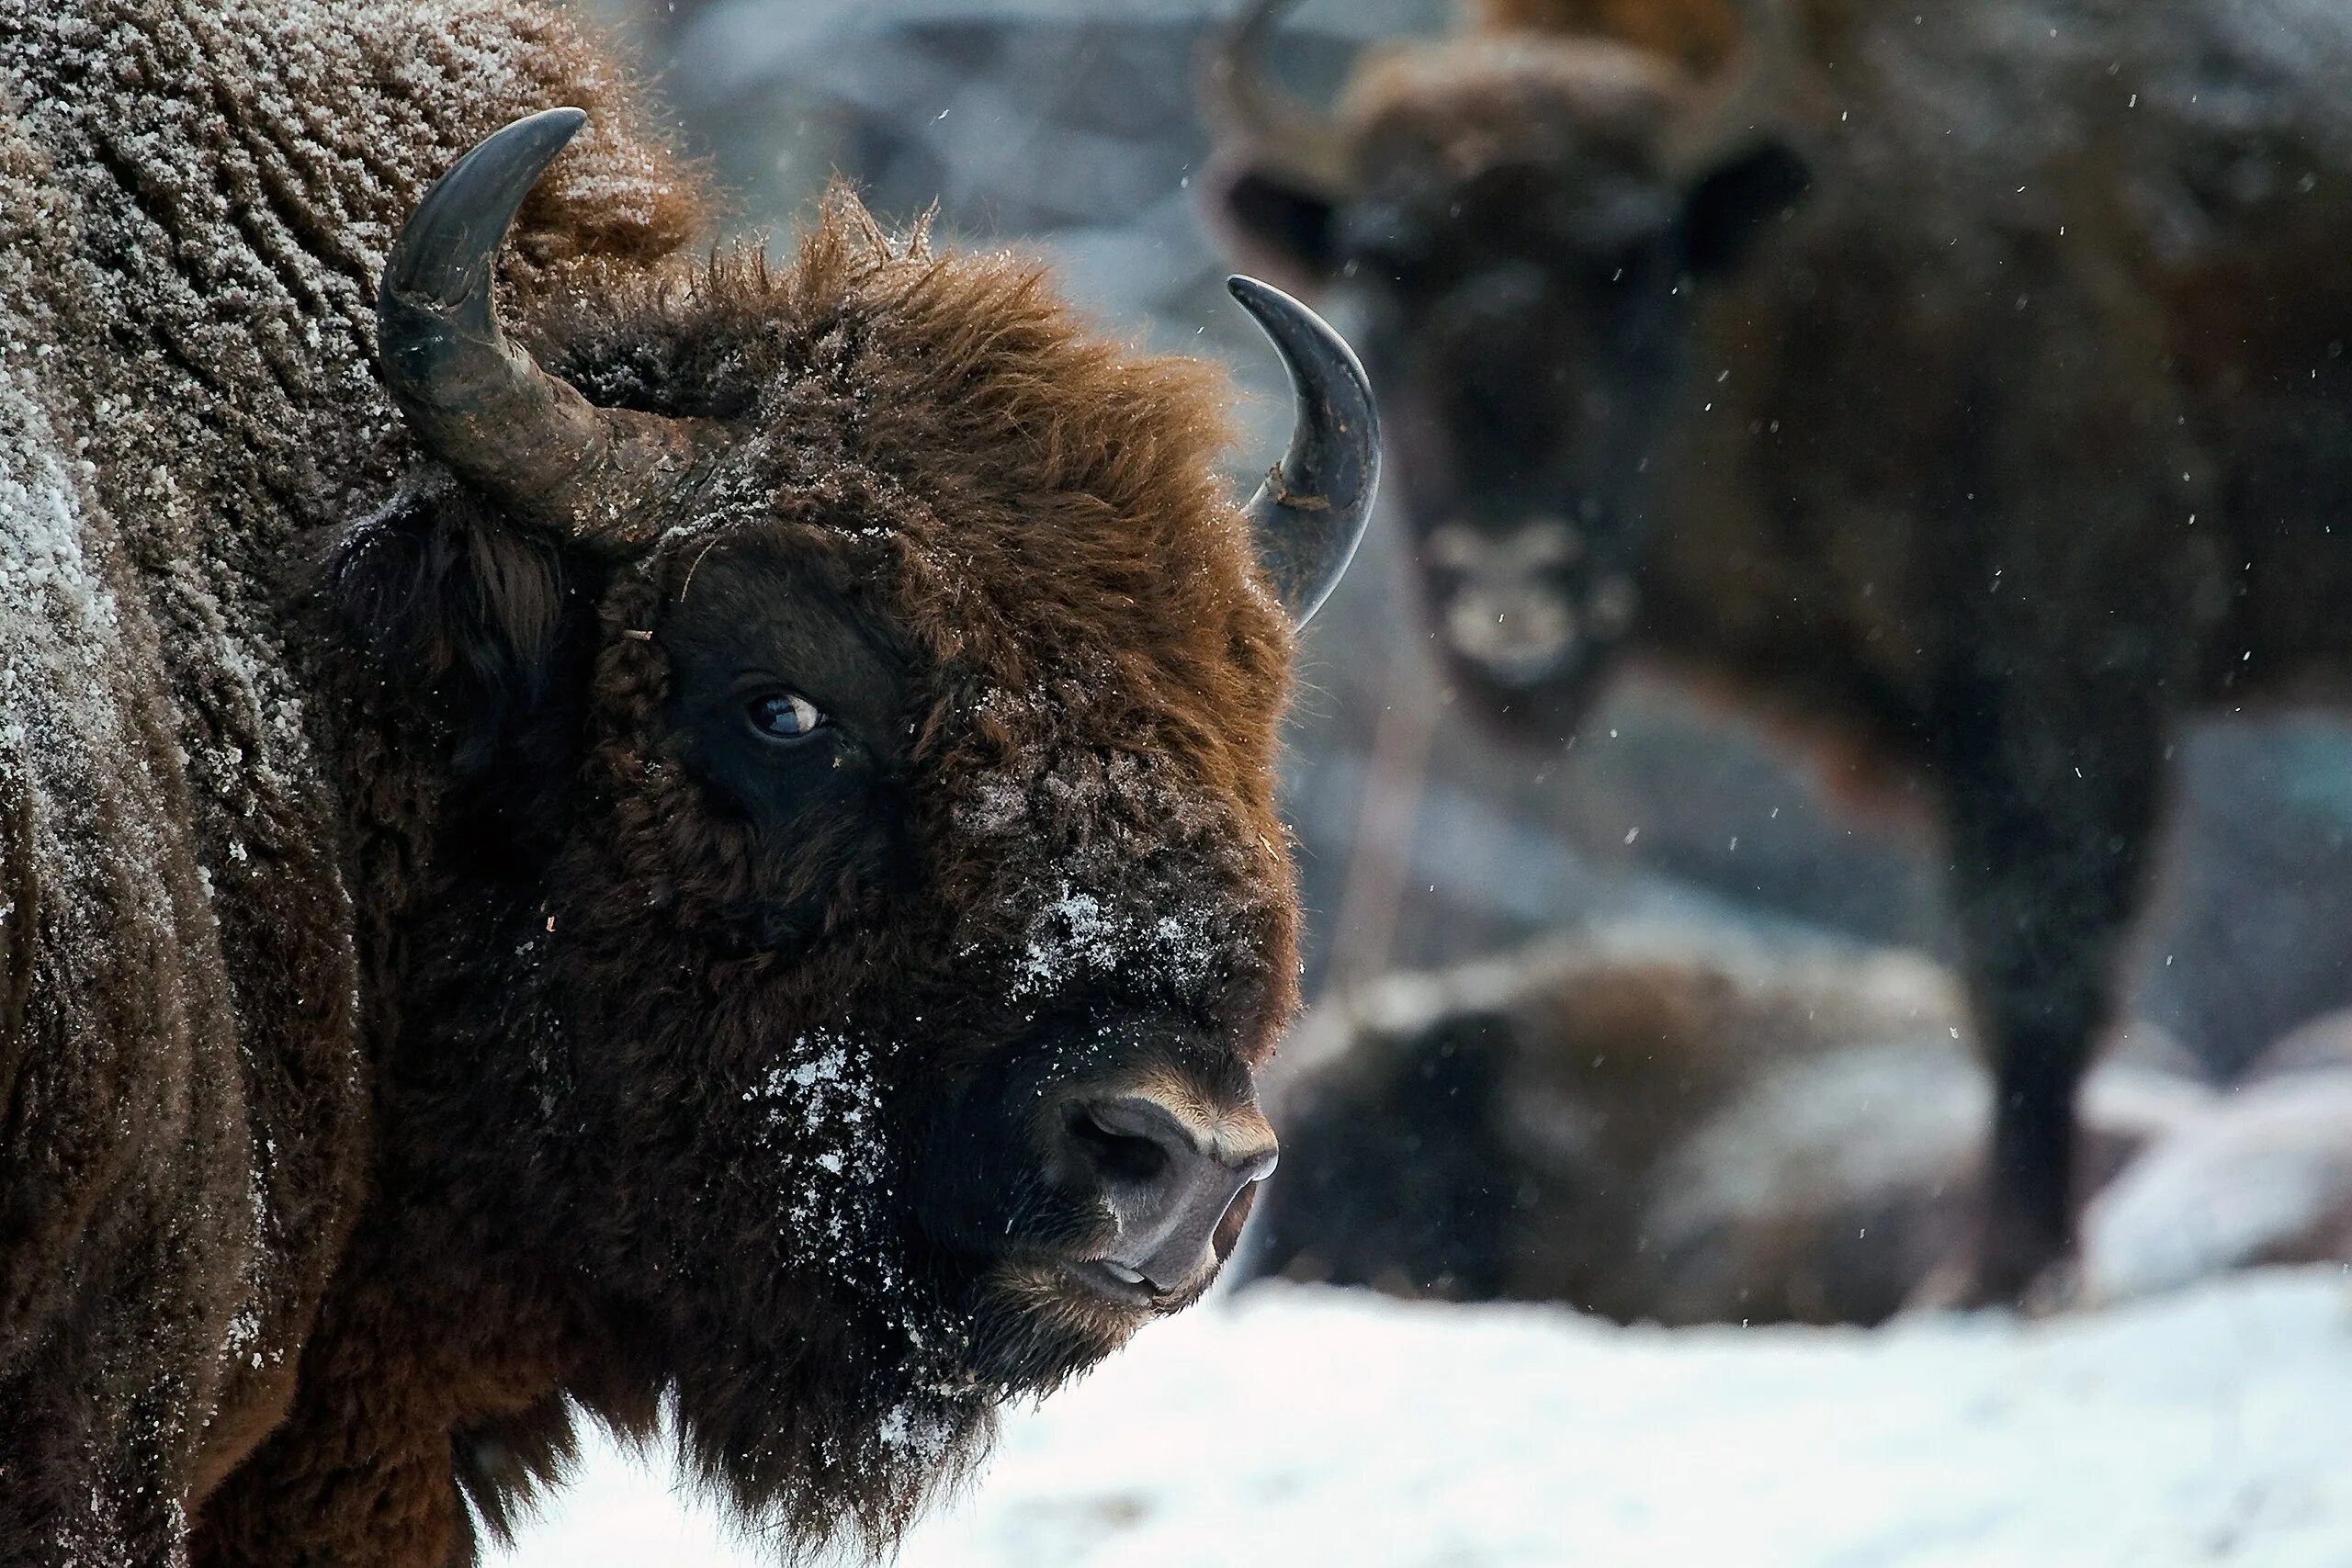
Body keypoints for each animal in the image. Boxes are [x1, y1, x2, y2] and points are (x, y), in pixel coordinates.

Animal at [1204, 0, 2352, 1297]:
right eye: (1381, 268)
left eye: (1635, 263)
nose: (1509, 574)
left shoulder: (2066, 660)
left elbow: (2032, 967)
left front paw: (2000, 1280)